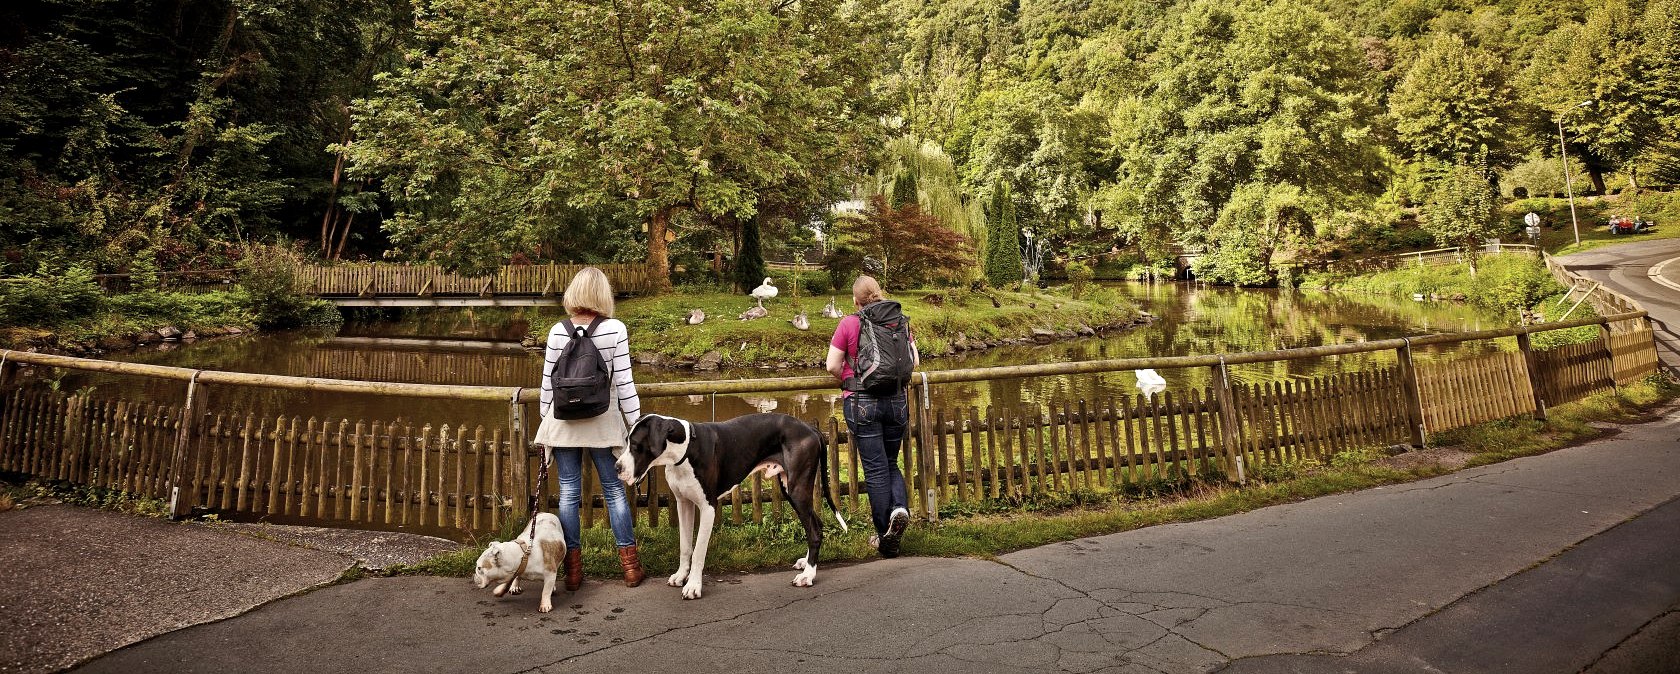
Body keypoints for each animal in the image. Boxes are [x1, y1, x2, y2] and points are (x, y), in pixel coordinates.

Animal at [618, 411, 846, 595]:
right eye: (627, 442)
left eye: (636, 446)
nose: (617, 467)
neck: (686, 449)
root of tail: (810, 428)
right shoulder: (684, 504)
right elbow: (685, 545)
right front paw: (681, 575)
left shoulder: (708, 508)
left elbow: (699, 551)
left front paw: (693, 586)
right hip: (790, 489)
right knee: (816, 524)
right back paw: (807, 563)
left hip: (798, 489)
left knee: (814, 530)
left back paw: (808, 575)